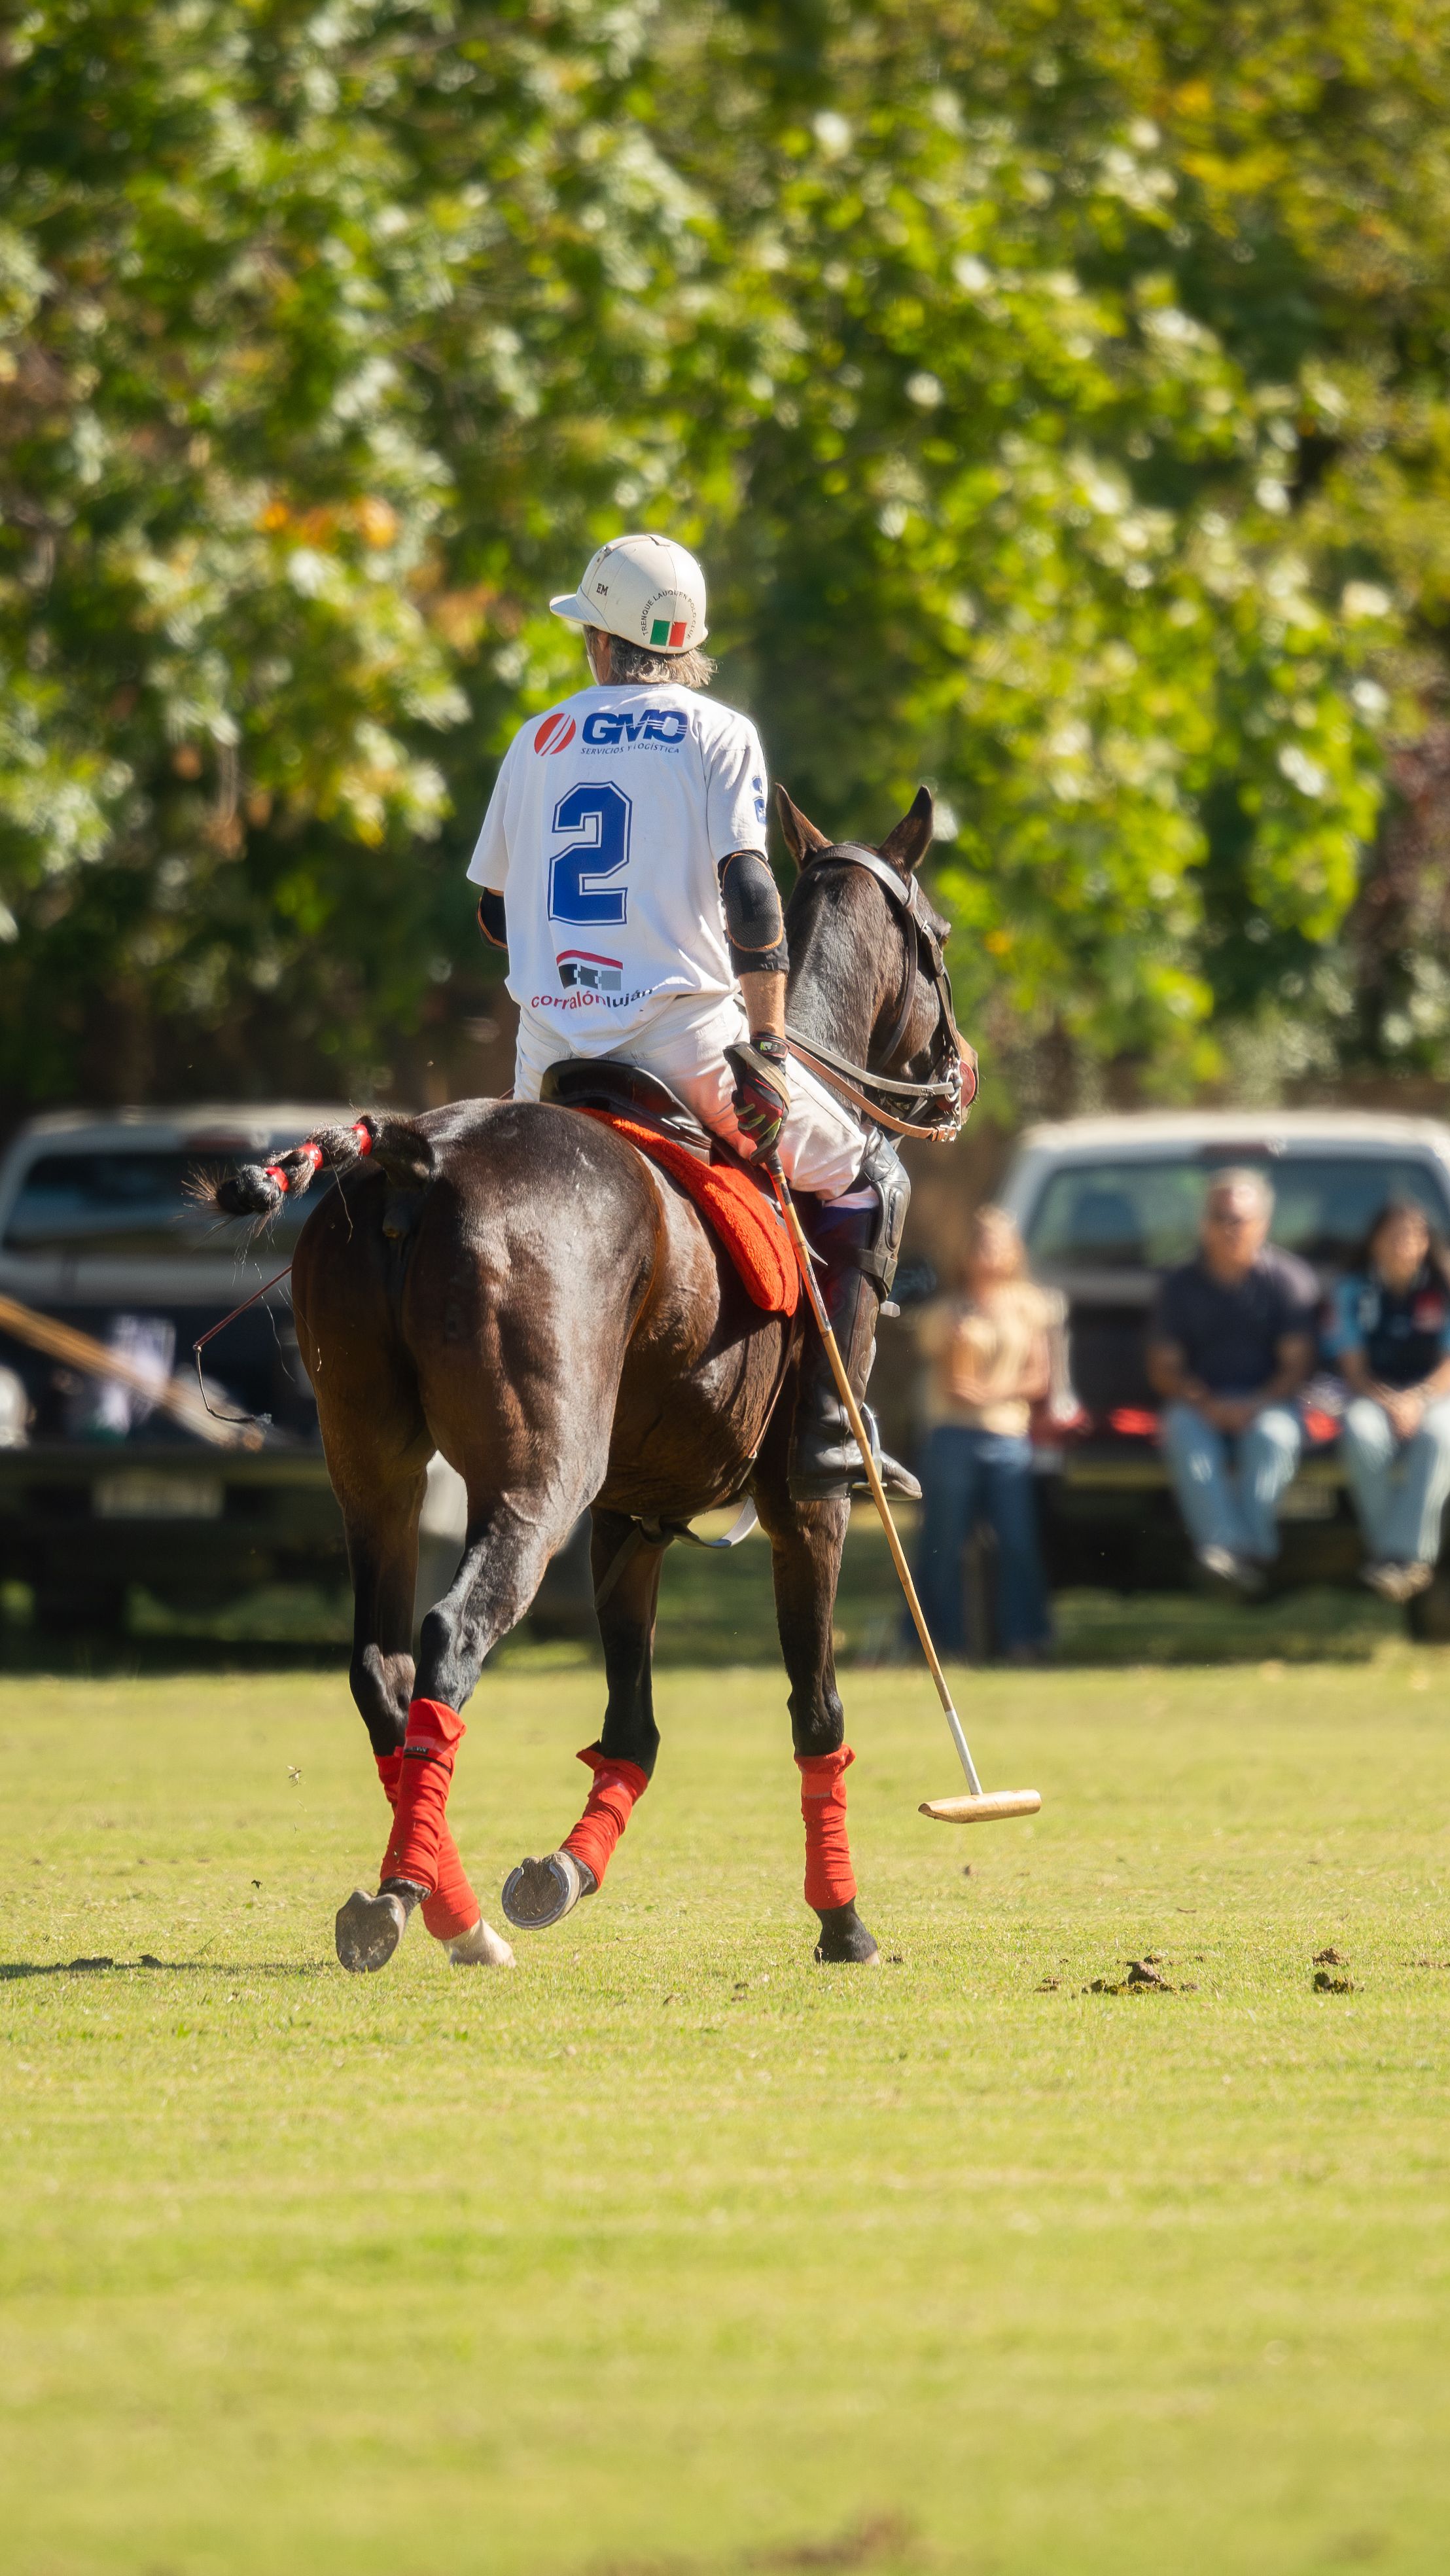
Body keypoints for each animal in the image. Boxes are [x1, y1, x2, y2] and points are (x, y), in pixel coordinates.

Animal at [209, 783, 968, 1971]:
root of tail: (412, 1163)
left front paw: (559, 1873)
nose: (953, 1077)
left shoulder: (633, 1515)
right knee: (450, 1636)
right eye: (937, 939)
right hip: (540, 1471)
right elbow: (818, 1712)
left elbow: (633, 1726)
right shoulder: (808, 1506)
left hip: (371, 1458)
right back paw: (415, 1904)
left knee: (380, 1660)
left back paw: (447, 1909)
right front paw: (845, 1923)